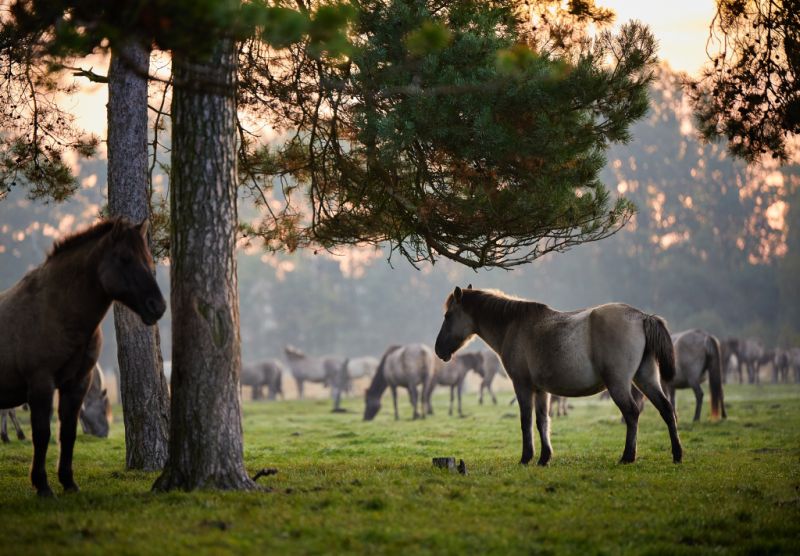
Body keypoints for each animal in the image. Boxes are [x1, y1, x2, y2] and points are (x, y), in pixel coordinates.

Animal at [0, 217, 165, 496]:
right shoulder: (41, 384)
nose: (158, 306)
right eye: (125, 258)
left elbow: (68, 432)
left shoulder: (76, 383)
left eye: (148, 258)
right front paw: (43, 486)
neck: (57, 311)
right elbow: (42, 433)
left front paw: (68, 482)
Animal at [438, 286, 680, 464]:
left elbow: (526, 421)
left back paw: (628, 456)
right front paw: (544, 458)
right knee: (667, 409)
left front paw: (526, 457)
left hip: (619, 384)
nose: (439, 350)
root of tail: (641, 317)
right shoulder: (541, 390)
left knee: (632, 413)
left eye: (448, 316)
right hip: (646, 378)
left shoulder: (522, 385)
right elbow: (542, 421)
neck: (514, 326)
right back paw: (677, 454)